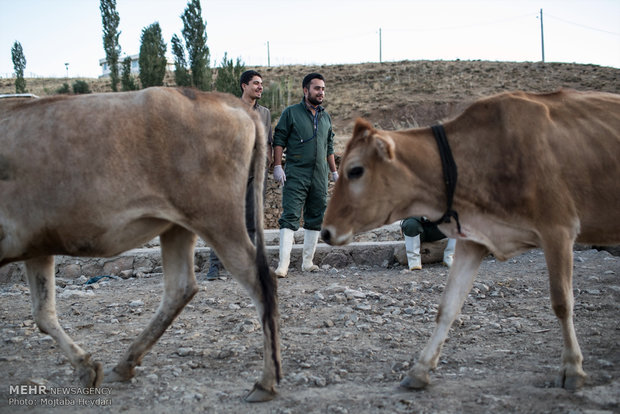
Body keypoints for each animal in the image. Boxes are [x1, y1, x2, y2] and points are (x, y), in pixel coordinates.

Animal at [0, 87, 280, 402]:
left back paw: (266, 382)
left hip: (218, 219)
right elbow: (43, 313)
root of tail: (225, 100)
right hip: (179, 225)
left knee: (260, 280)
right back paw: (125, 364)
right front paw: (86, 369)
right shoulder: (38, 246)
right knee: (180, 288)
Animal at [322, 90, 616, 392]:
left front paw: (572, 369)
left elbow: (562, 302)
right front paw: (420, 369)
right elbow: (448, 306)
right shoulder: (473, 238)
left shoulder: (558, 229)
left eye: (355, 170)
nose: (326, 231)